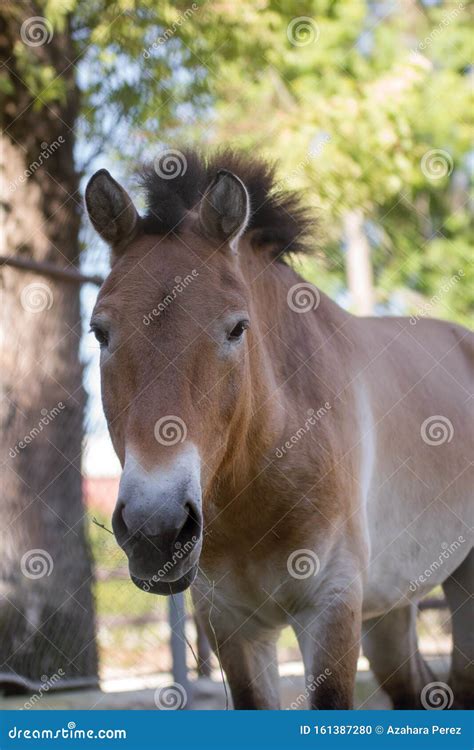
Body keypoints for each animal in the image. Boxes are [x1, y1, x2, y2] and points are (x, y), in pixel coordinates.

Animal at [86, 148, 474, 712]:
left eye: (237, 328)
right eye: (100, 332)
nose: (155, 529)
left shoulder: (330, 607)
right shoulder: (232, 625)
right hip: (390, 610)